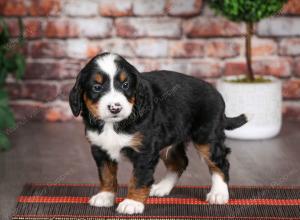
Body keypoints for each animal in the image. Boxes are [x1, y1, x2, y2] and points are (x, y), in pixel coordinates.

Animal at [69, 52, 247, 215]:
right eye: (96, 87)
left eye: (125, 85)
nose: (115, 108)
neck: (113, 125)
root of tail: (216, 92)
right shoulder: (100, 149)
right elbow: (106, 174)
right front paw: (105, 195)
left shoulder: (145, 150)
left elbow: (139, 178)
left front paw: (132, 203)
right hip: (169, 139)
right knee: (180, 163)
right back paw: (162, 188)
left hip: (207, 138)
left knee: (220, 163)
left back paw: (219, 193)